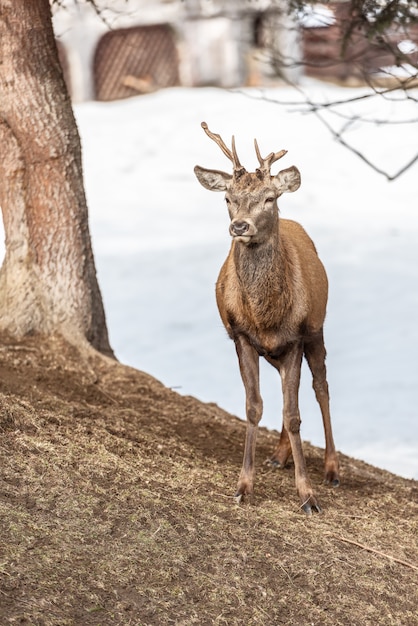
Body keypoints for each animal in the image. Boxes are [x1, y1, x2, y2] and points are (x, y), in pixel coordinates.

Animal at [193, 120, 340, 512]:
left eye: (269, 198)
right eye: (228, 198)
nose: (240, 226)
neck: (265, 315)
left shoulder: (296, 336)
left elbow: (294, 414)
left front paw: (308, 495)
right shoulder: (241, 335)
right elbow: (254, 407)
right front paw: (244, 486)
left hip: (317, 329)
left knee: (321, 388)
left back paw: (332, 469)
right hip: (274, 350)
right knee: (293, 391)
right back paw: (279, 455)